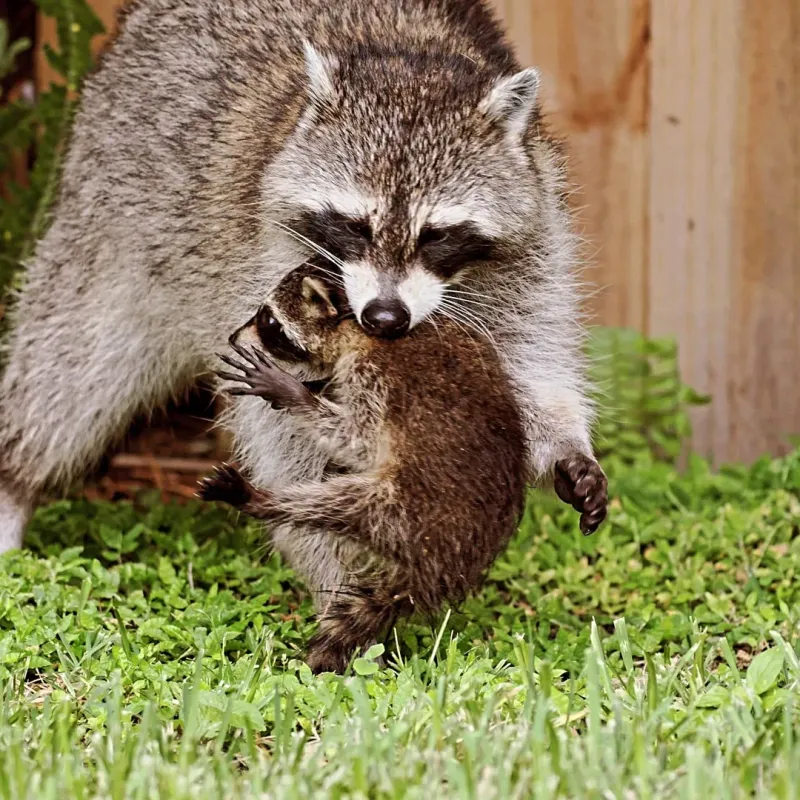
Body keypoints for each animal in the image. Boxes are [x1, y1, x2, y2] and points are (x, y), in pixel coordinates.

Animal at [0, 0, 606, 585]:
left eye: (436, 235)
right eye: (356, 226)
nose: (385, 317)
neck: (412, 55)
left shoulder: (536, 238)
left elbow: (528, 354)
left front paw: (564, 442)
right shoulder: (264, 259)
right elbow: (284, 433)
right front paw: (330, 561)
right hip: (112, 212)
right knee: (73, 371)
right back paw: (15, 479)